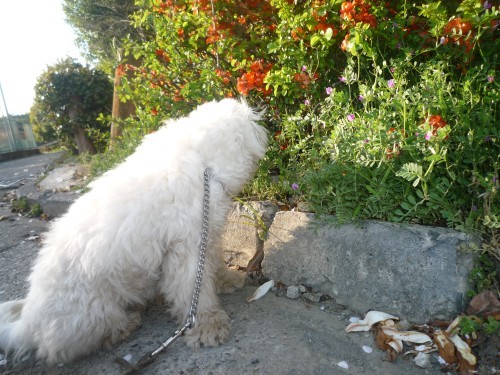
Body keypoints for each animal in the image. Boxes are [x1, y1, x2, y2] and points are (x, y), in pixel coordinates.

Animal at [0, 98, 270, 366]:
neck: (201, 158)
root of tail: (29, 321)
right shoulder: (185, 248)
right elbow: (195, 289)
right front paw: (207, 325)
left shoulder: (205, 235)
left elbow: (213, 263)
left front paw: (226, 280)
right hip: (93, 311)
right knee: (63, 348)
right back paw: (125, 326)